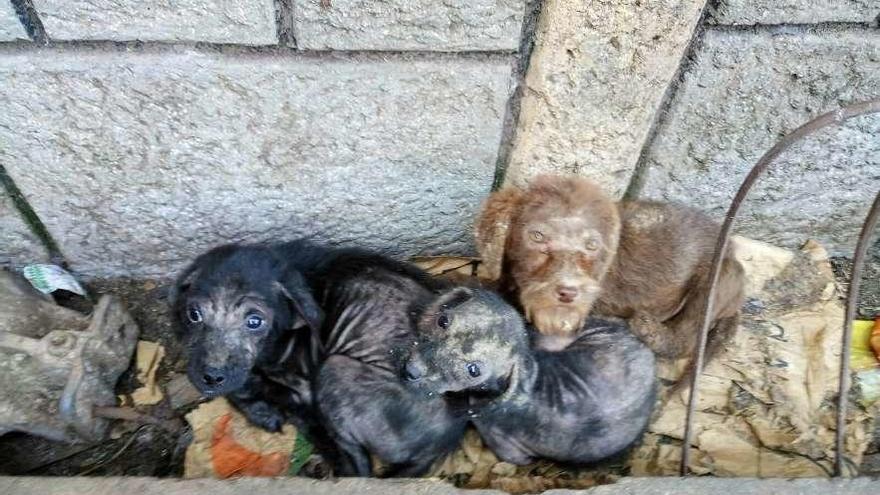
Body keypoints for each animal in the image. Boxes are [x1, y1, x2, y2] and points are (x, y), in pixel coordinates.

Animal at [478, 176, 744, 358]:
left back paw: (649, 330)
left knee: (689, 336)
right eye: (537, 236)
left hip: (717, 279)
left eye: (592, 245)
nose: (568, 293)